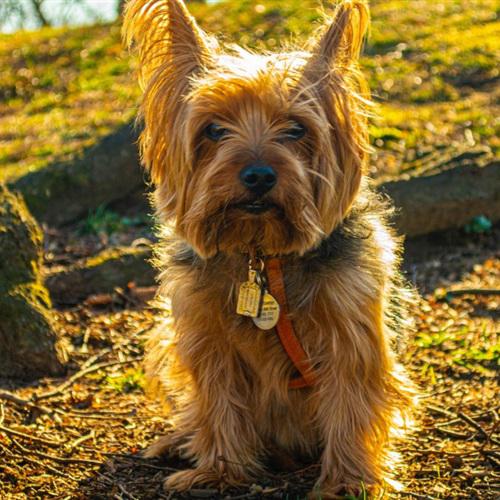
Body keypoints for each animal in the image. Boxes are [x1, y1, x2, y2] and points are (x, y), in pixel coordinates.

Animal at [124, 0, 414, 496]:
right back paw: (179, 440)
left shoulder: (349, 328)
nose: (258, 174)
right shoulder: (206, 332)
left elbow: (350, 397)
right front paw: (220, 470)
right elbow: (218, 396)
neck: (261, 253)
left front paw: (347, 481)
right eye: (213, 130)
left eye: (296, 130)